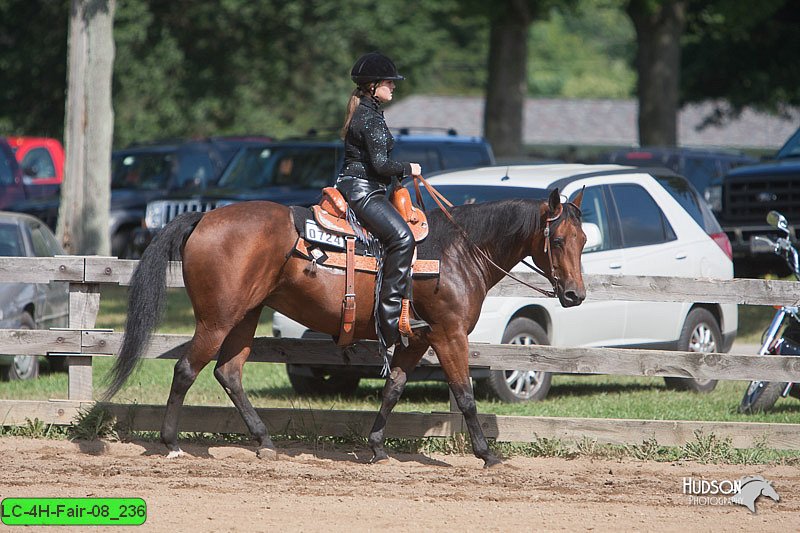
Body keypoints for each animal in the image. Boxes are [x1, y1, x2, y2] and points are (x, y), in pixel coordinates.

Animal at [103, 187, 584, 466]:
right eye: (558, 239)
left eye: (583, 240)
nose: (575, 295)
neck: (456, 253)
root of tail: (204, 218)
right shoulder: (448, 335)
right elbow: (465, 395)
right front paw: (487, 454)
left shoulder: (416, 338)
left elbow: (393, 388)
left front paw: (377, 446)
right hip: (217, 319)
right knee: (187, 369)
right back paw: (170, 443)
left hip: (245, 316)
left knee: (229, 373)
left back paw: (265, 441)